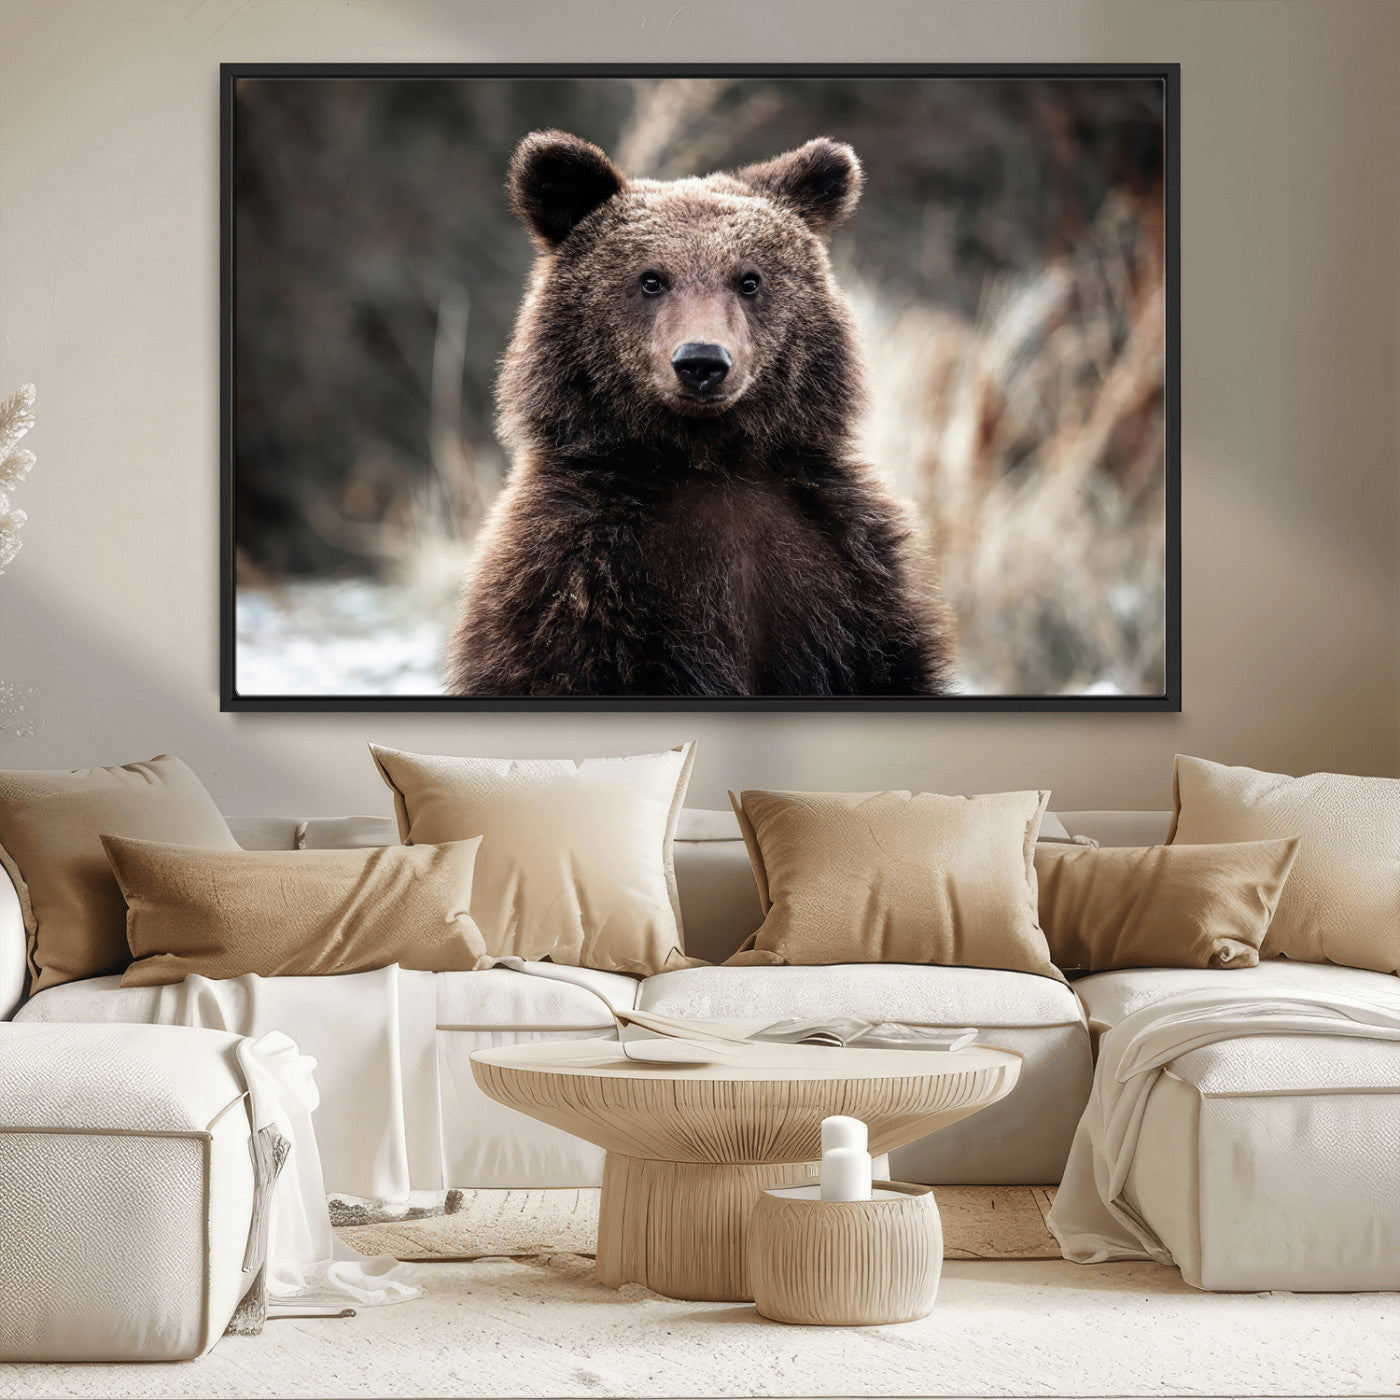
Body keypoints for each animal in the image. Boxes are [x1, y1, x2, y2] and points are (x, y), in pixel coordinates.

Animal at [444, 129, 956, 697]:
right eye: (651, 279)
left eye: (749, 280)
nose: (702, 362)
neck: (708, 458)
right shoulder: (576, 579)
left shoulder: (846, 573)